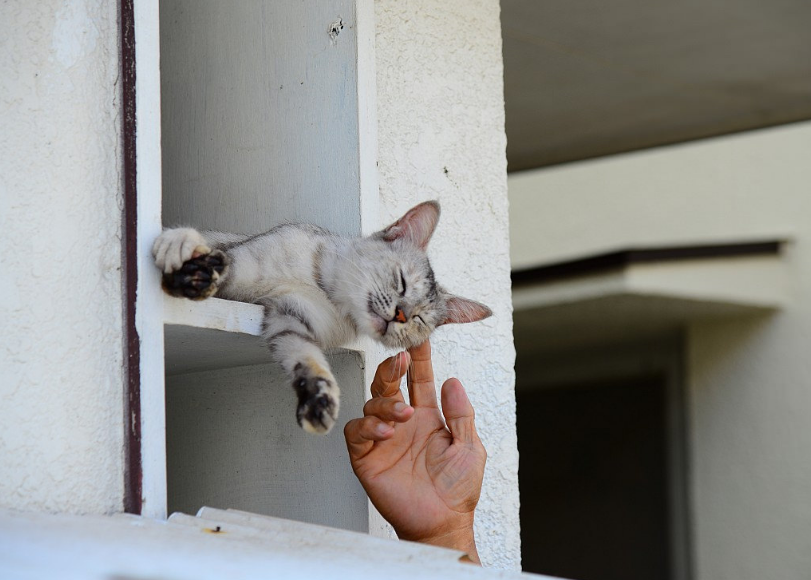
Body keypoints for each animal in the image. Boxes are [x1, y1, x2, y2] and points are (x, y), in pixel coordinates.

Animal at [155, 202, 492, 432]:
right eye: (402, 283)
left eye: (419, 320)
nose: (400, 315)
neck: (320, 287)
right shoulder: (244, 261)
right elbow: (221, 255)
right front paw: (187, 259)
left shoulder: (291, 316)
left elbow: (304, 357)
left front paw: (320, 397)